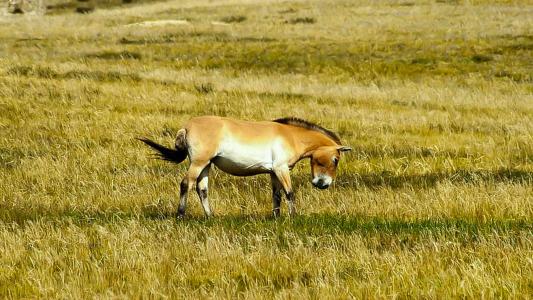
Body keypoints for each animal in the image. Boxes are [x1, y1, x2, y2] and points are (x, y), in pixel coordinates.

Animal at [139, 115, 352, 218]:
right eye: (336, 159)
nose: (324, 184)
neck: (290, 135)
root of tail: (187, 127)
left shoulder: (273, 172)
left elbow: (276, 195)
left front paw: (277, 217)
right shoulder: (281, 169)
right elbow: (290, 193)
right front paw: (293, 217)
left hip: (206, 164)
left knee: (202, 189)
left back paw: (210, 216)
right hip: (198, 163)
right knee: (186, 184)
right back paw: (180, 215)